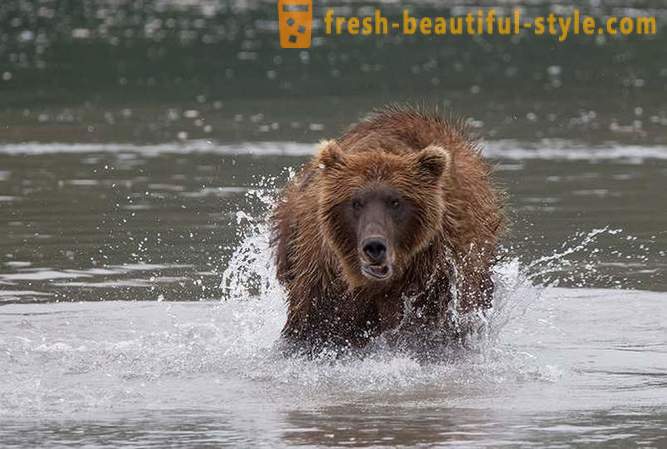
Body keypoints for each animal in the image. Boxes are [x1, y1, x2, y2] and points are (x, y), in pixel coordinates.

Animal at [272, 106, 506, 354]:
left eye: (395, 202)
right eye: (355, 202)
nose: (374, 246)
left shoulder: (437, 271)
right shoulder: (323, 271)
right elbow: (316, 323)